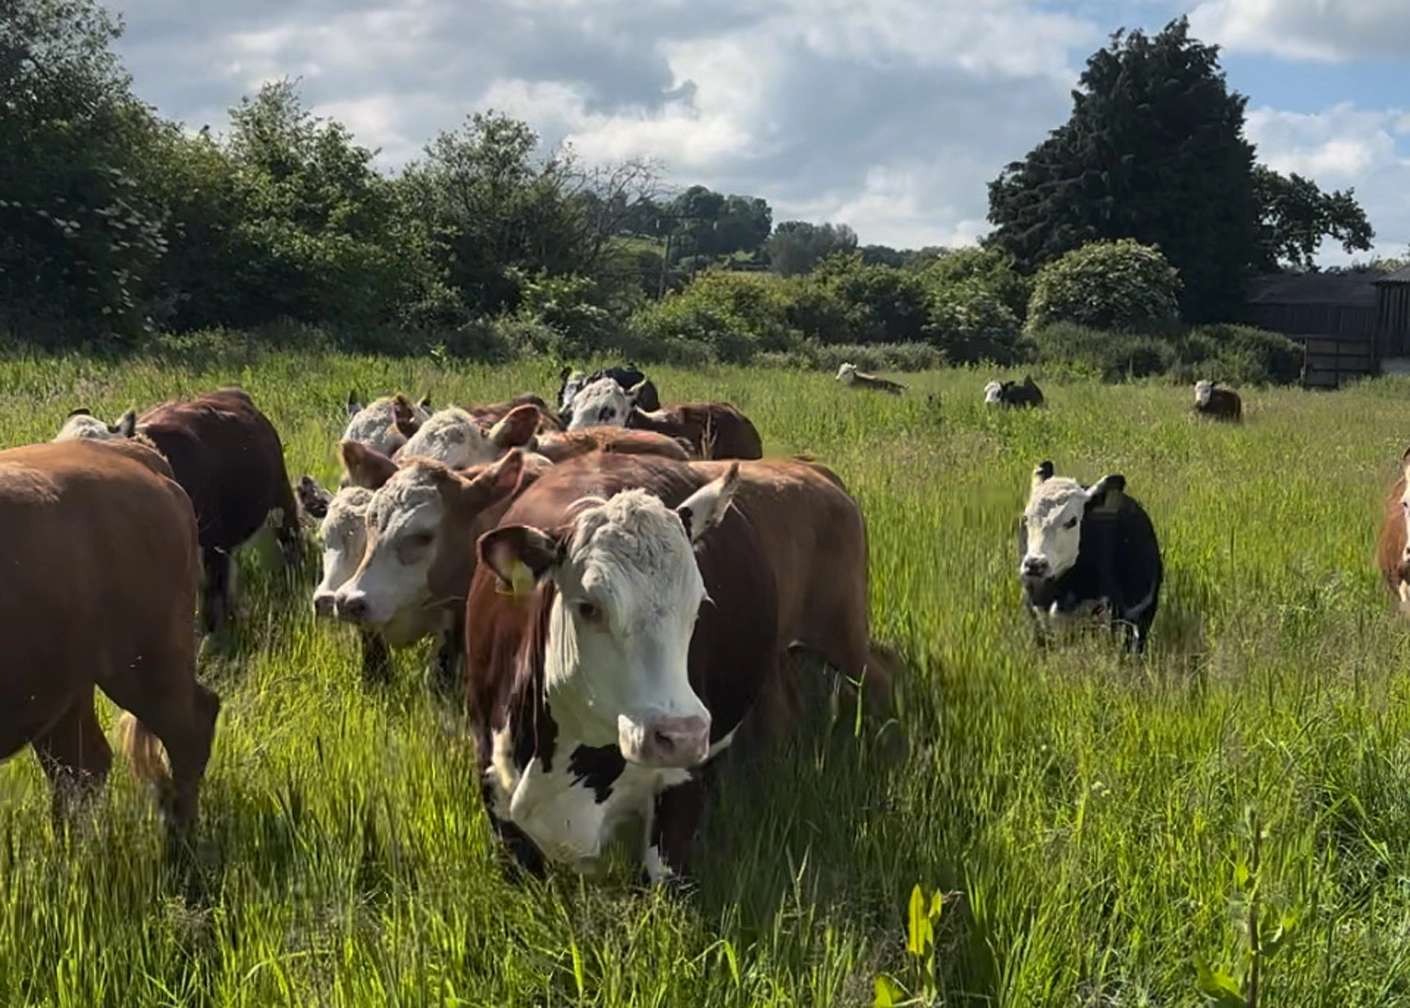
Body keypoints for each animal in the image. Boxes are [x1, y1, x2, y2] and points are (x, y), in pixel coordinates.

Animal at [0, 437, 220, 858]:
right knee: (82, 767)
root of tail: (131, 452)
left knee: (190, 729)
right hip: (64, 687)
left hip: (145, 664)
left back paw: (177, 846)